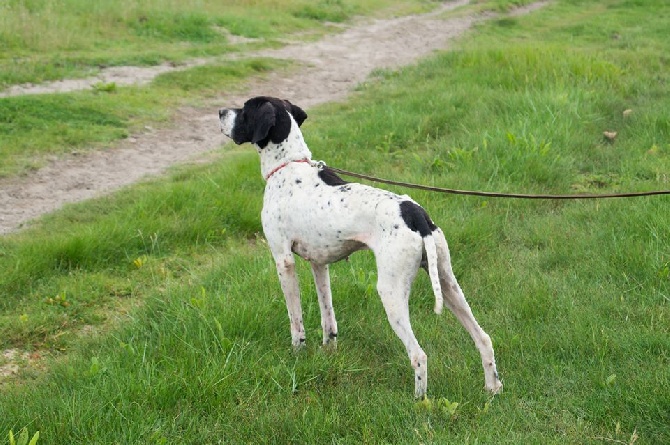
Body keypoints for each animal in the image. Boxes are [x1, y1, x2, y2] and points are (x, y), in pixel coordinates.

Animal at [218, 95, 502, 398]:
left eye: (245, 110)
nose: (220, 111)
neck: (289, 166)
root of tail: (415, 214)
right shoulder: (319, 264)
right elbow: (327, 316)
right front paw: (328, 351)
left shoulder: (284, 261)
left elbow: (296, 320)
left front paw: (298, 354)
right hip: (448, 283)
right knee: (483, 338)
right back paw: (492, 388)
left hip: (391, 292)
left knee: (419, 355)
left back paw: (419, 401)